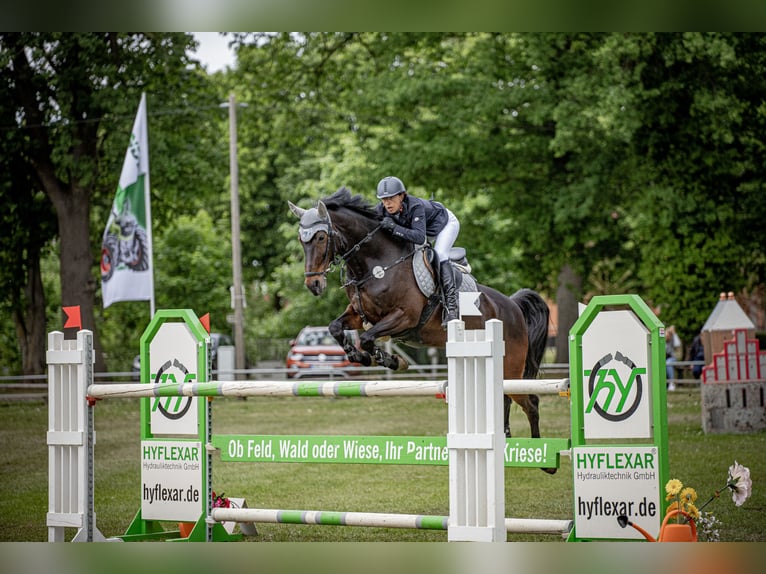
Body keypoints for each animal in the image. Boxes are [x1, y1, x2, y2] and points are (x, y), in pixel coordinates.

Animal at [292, 187, 556, 474]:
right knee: (505, 400)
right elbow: (336, 327)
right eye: (301, 240)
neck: (376, 263)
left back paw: (546, 462)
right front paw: (357, 355)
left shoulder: (404, 317)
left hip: (511, 369)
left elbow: (368, 337)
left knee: (531, 402)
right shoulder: (361, 315)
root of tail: (513, 305)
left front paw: (391, 360)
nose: (314, 285)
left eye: (320, 237)